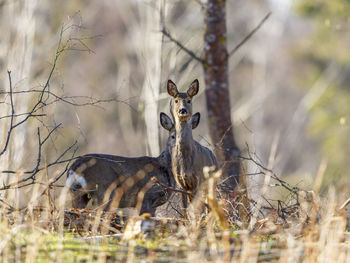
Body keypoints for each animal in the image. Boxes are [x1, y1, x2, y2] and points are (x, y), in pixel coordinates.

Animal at [65, 113, 200, 217]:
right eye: (173, 136)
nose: (182, 146)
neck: (164, 168)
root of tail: (74, 168)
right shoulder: (146, 195)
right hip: (104, 190)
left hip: (78, 193)